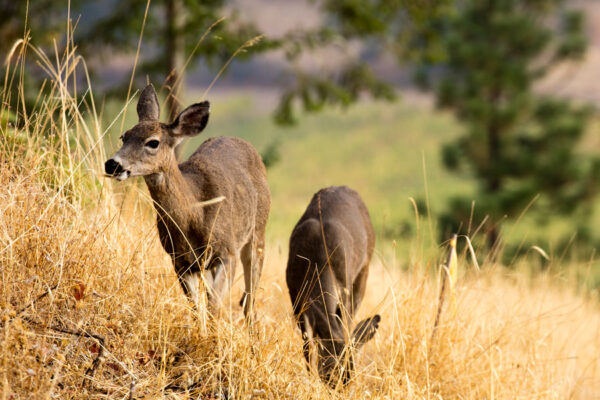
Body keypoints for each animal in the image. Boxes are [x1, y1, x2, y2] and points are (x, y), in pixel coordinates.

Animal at [105, 84, 270, 318]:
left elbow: (214, 307)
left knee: (249, 299)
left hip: (258, 231)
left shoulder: (227, 251)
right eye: (124, 137)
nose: (113, 164)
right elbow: (195, 309)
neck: (194, 216)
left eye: (153, 142)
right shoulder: (179, 260)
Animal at [286, 186, 380, 386]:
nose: (339, 388)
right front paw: (309, 376)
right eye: (333, 373)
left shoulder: (344, 292)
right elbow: (307, 345)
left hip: (363, 272)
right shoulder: (296, 297)